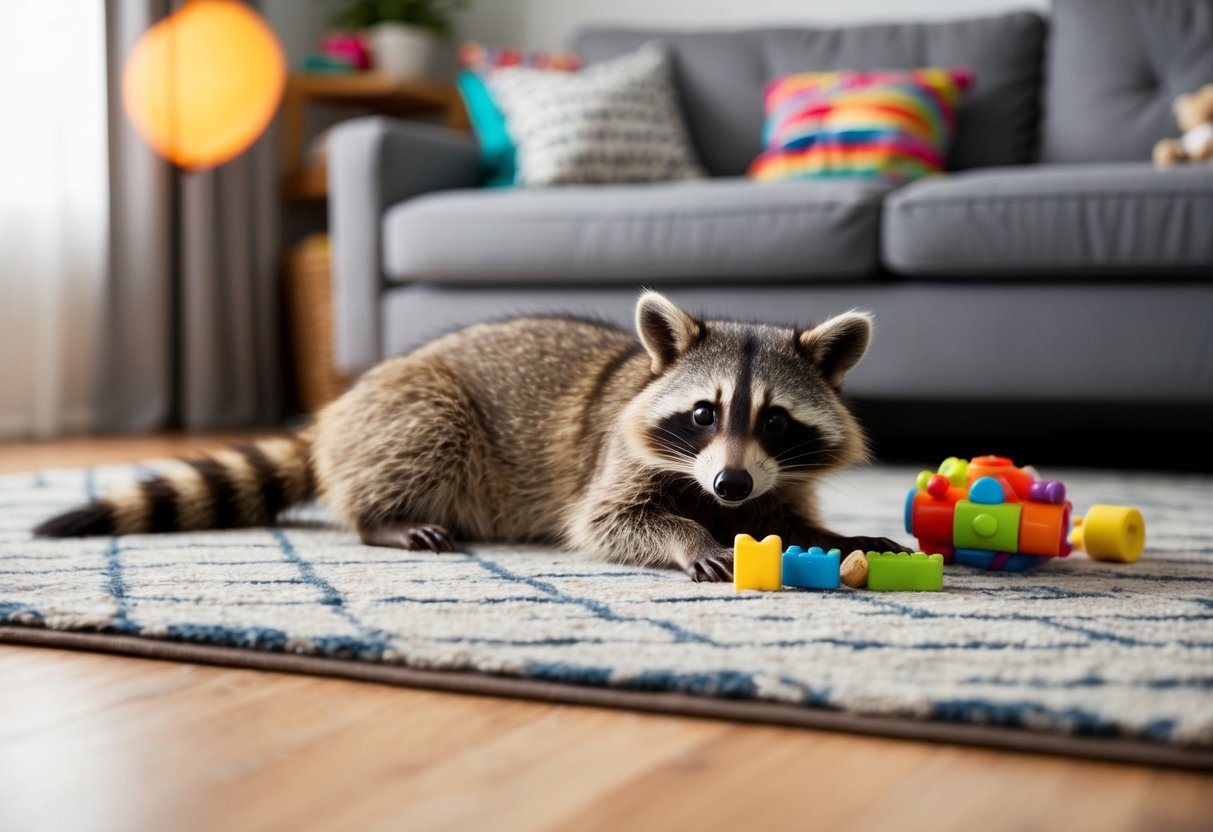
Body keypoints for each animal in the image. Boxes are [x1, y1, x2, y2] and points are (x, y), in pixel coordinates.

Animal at [35, 292, 905, 581]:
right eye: (701, 414)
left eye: (774, 420)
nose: (728, 487)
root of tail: (335, 417)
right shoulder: (619, 460)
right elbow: (607, 520)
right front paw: (688, 536)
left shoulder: (774, 474)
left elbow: (788, 514)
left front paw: (848, 535)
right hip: (412, 409)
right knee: (428, 429)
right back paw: (381, 518)